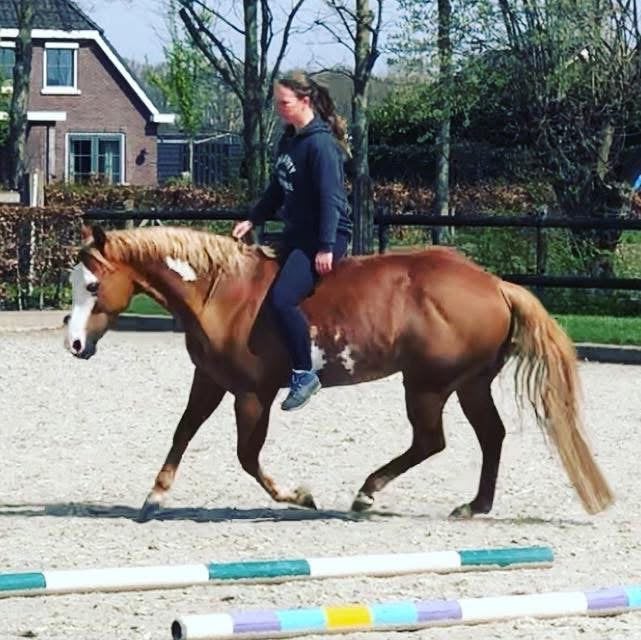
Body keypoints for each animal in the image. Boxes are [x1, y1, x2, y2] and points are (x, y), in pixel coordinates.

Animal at [65, 224, 614, 521]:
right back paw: (474, 506)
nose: (74, 344)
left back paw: (369, 492)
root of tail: (495, 284)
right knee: (489, 436)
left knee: (431, 441)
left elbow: (247, 456)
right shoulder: (212, 382)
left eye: (92, 285)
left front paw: (298, 496)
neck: (221, 295)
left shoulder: (253, 394)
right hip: (468, 385)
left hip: (427, 386)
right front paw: (154, 496)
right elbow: (182, 432)